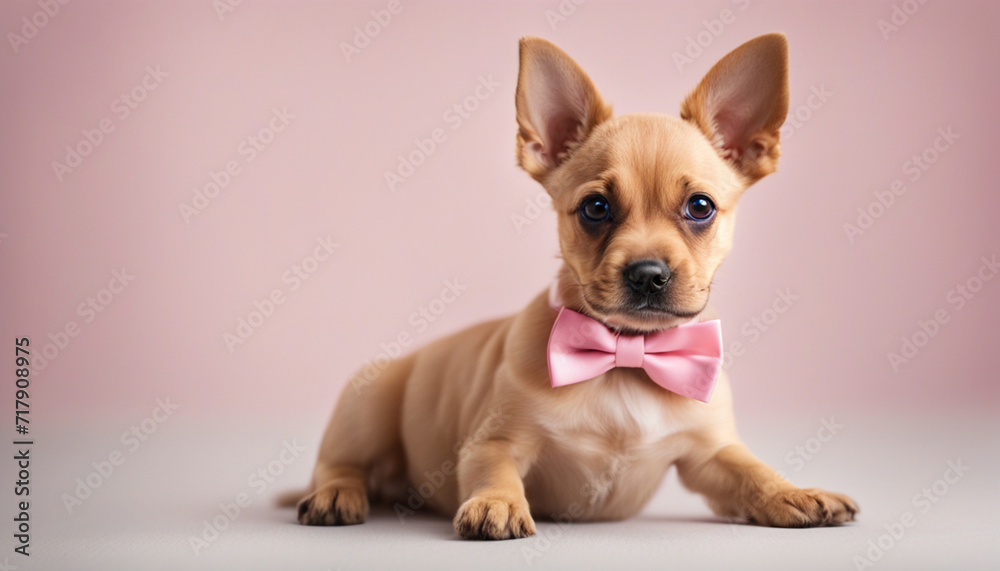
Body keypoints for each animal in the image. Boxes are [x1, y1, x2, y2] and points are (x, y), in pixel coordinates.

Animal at [292, 32, 860, 540]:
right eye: (596, 208)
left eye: (700, 207)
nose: (648, 273)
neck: (628, 357)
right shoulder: (494, 441)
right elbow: (494, 469)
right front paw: (497, 503)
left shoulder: (711, 455)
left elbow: (752, 471)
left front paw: (792, 492)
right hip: (367, 403)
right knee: (339, 464)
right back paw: (335, 494)